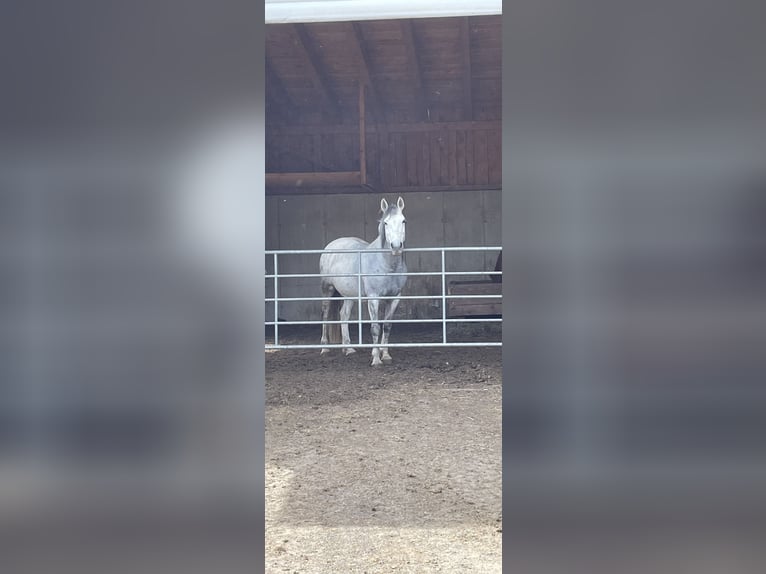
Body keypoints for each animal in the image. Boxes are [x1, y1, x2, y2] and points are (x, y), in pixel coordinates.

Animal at [320, 198, 412, 368]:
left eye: (403, 221)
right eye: (386, 223)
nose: (396, 246)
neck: (387, 265)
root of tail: (331, 246)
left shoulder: (395, 298)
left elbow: (387, 326)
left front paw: (386, 355)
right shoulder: (373, 298)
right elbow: (375, 327)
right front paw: (376, 359)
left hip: (349, 295)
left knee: (344, 314)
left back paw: (348, 349)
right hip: (327, 289)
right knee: (325, 314)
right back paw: (324, 348)